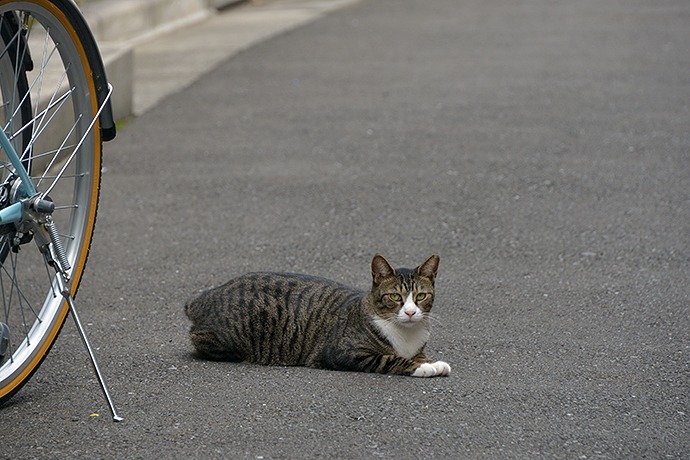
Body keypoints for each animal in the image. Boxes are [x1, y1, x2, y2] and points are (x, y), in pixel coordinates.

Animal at [184, 255, 452, 378]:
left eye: (421, 296)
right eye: (395, 297)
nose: (410, 312)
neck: (406, 335)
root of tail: (205, 296)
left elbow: (420, 355)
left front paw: (431, 361)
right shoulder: (344, 352)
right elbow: (390, 359)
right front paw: (422, 367)